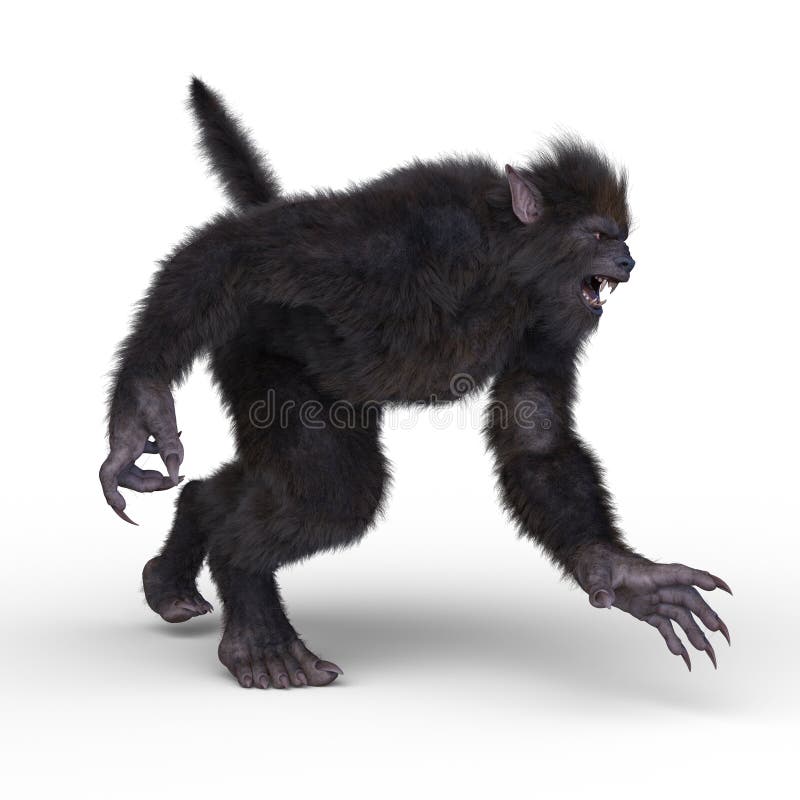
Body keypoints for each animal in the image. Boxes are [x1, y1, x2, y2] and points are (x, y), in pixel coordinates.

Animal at [100, 78, 732, 689]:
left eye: (621, 235)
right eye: (599, 235)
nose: (627, 259)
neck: (509, 260)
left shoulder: (550, 321)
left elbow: (535, 427)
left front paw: (618, 571)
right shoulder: (404, 238)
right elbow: (240, 248)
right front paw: (139, 411)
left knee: (303, 485)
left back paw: (193, 533)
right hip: (248, 341)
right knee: (332, 488)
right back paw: (253, 618)